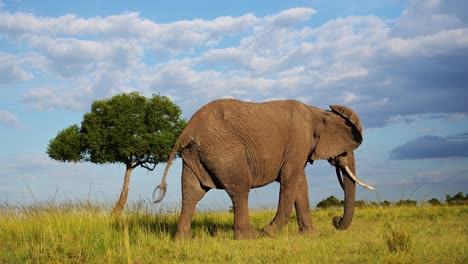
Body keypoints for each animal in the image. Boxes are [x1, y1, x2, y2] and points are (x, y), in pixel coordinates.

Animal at [154, 98, 372, 239]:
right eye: (345, 151)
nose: (336, 220)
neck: (317, 112)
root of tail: (188, 129)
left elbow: (300, 184)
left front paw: (310, 235)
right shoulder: (299, 140)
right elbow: (290, 179)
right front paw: (268, 233)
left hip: (194, 155)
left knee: (192, 193)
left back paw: (182, 240)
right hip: (224, 151)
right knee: (240, 189)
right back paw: (249, 236)